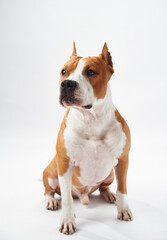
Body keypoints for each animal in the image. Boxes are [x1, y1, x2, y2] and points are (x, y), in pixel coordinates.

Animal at [42, 42, 133, 234]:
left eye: (90, 72)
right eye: (63, 71)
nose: (66, 84)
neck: (91, 119)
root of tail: (82, 195)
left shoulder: (123, 159)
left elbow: (122, 188)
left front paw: (123, 209)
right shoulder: (64, 162)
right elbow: (66, 198)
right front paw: (68, 220)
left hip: (109, 174)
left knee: (105, 186)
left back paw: (108, 194)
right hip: (51, 171)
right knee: (48, 190)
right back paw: (51, 200)